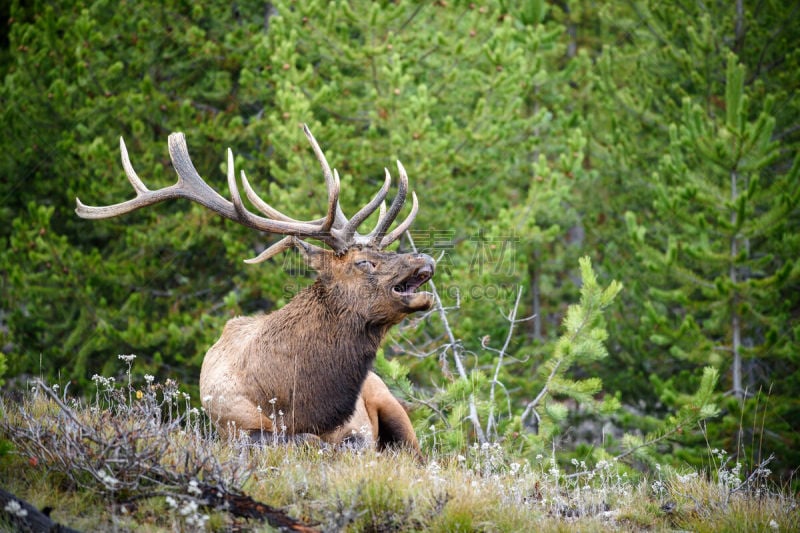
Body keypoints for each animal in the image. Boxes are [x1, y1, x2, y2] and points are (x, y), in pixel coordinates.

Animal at [76, 124, 432, 454]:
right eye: (363, 262)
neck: (298, 404)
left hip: (391, 403)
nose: (425, 258)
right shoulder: (234, 426)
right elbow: (303, 441)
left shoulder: (356, 428)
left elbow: (344, 443)